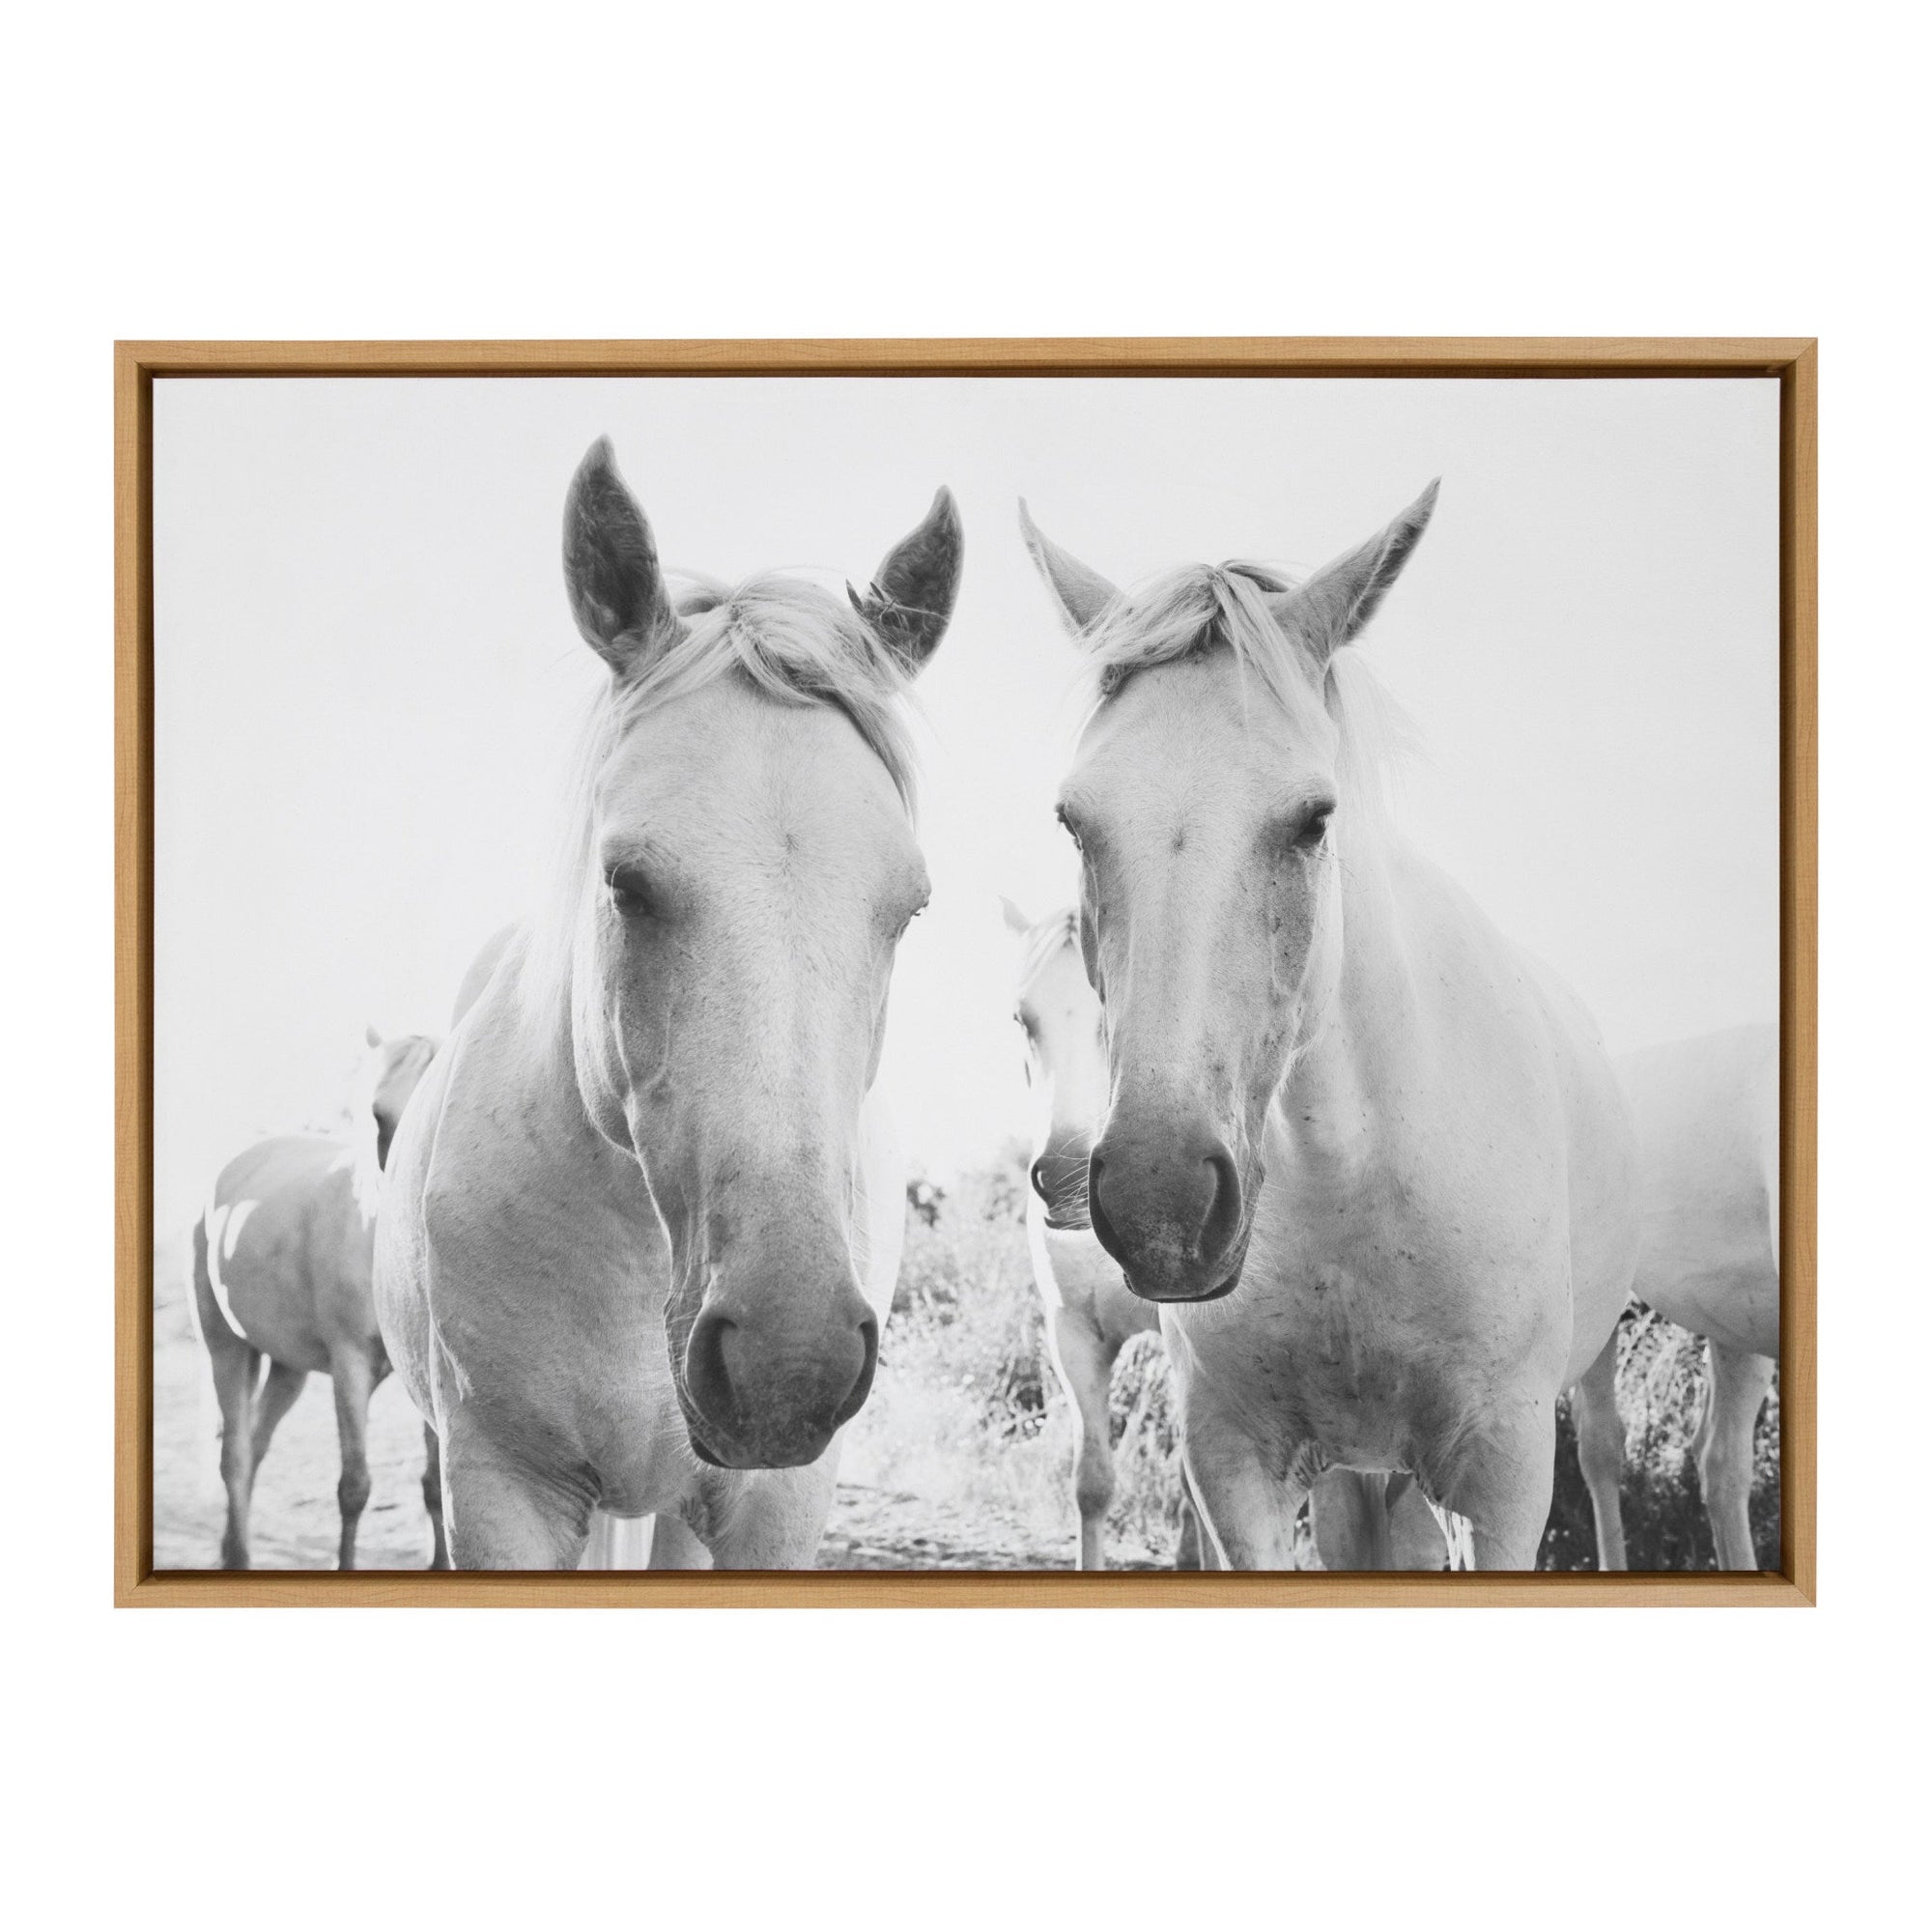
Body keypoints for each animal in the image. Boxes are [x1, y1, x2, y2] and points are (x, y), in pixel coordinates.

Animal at [190, 1029, 438, 1568]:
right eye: (376, 1114)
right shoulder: (350, 1365)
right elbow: (355, 1487)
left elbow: (436, 1485)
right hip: (227, 1350)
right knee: (235, 1456)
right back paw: (238, 1556)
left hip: (288, 1368)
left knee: (257, 1443)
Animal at [1021, 484, 1640, 1569]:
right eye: (1073, 819)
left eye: (1314, 817)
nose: (1160, 1201)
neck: (1351, 1178)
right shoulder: (1234, 1464)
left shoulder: (1502, 1474)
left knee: (1604, 1459)